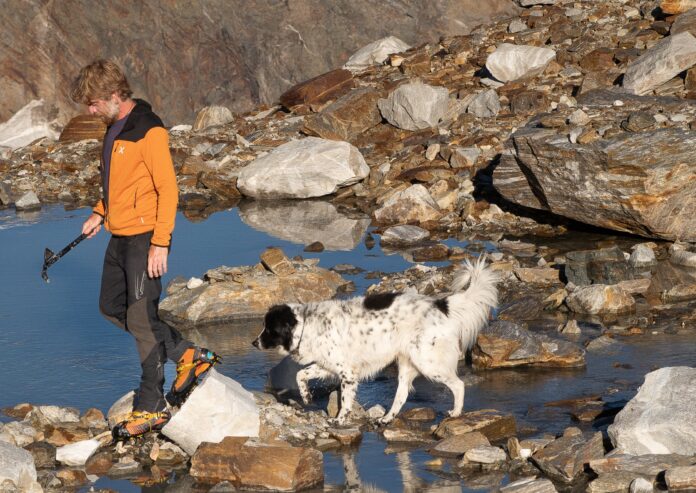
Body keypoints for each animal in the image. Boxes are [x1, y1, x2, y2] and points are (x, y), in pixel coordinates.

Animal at [253, 258, 498, 422]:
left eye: (270, 329)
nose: (254, 344)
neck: (306, 324)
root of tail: (440, 305)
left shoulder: (347, 373)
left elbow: (345, 400)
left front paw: (339, 420)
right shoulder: (328, 365)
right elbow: (300, 374)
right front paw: (306, 397)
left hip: (428, 362)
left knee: (458, 384)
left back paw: (456, 412)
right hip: (406, 363)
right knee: (402, 393)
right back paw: (387, 418)